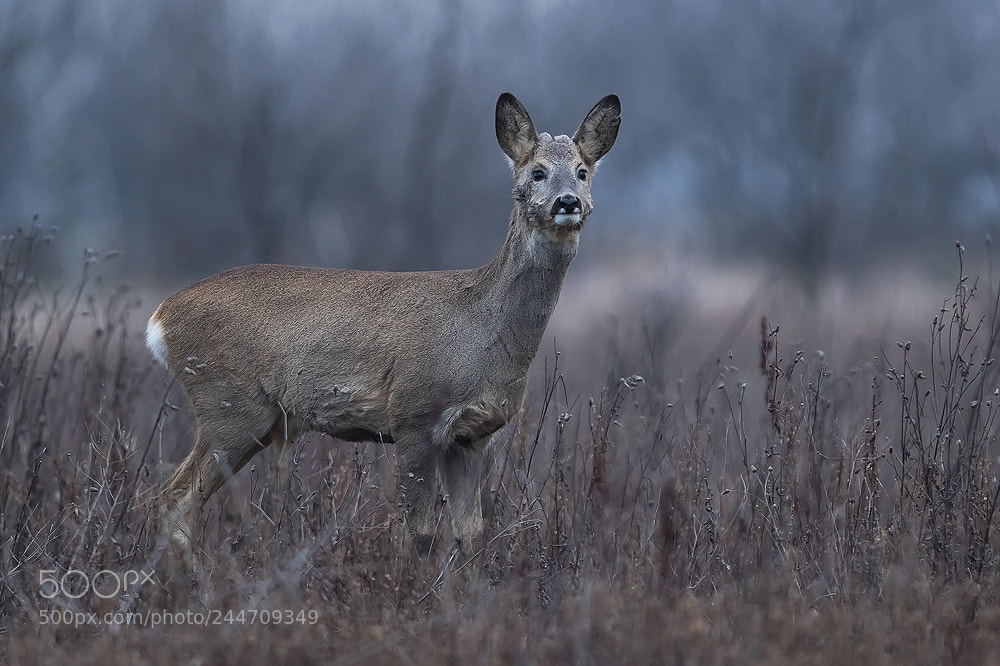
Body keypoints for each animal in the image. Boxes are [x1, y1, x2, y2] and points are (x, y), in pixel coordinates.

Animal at [147, 93, 620, 568]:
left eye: (582, 171)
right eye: (538, 171)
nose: (567, 201)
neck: (481, 331)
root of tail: (161, 318)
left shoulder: (472, 435)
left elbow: (472, 534)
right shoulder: (414, 414)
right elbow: (420, 533)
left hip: (254, 418)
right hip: (228, 405)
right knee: (174, 496)